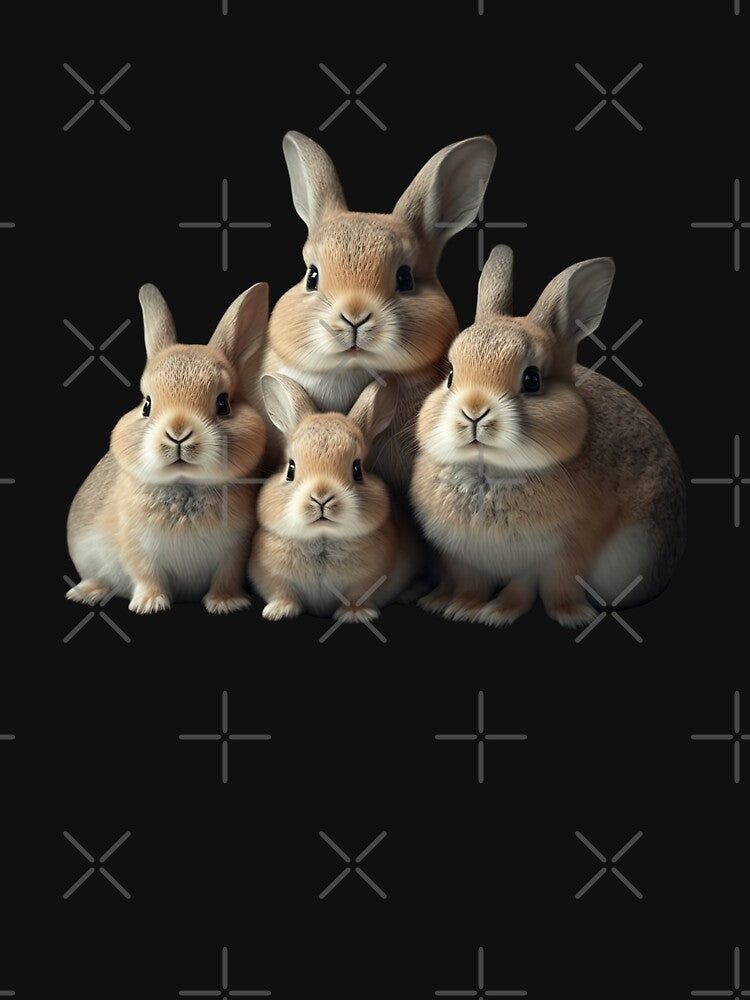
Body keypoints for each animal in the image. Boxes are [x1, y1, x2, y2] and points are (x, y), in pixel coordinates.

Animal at [66, 282, 268, 614]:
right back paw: (86, 593)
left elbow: (225, 578)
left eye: (223, 404)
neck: (184, 484)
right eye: (147, 404)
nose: (178, 434)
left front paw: (226, 603)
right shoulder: (137, 547)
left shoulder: (235, 552)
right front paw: (150, 604)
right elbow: (147, 575)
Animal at [249, 373, 421, 622]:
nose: (321, 498)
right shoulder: (272, 576)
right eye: (291, 469)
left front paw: (355, 615)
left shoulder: (367, 580)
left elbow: (357, 596)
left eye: (357, 469)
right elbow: (282, 592)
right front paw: (278, 611)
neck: (323, 537)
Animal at [411, 245, 686, 628]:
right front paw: (455, 607)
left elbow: (535, 585)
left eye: (532, 380)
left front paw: (508, 614)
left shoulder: (560, 551)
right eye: (450, 376)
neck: (488, 471)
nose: (473, 411)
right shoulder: (462, 558)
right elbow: (470, 583)